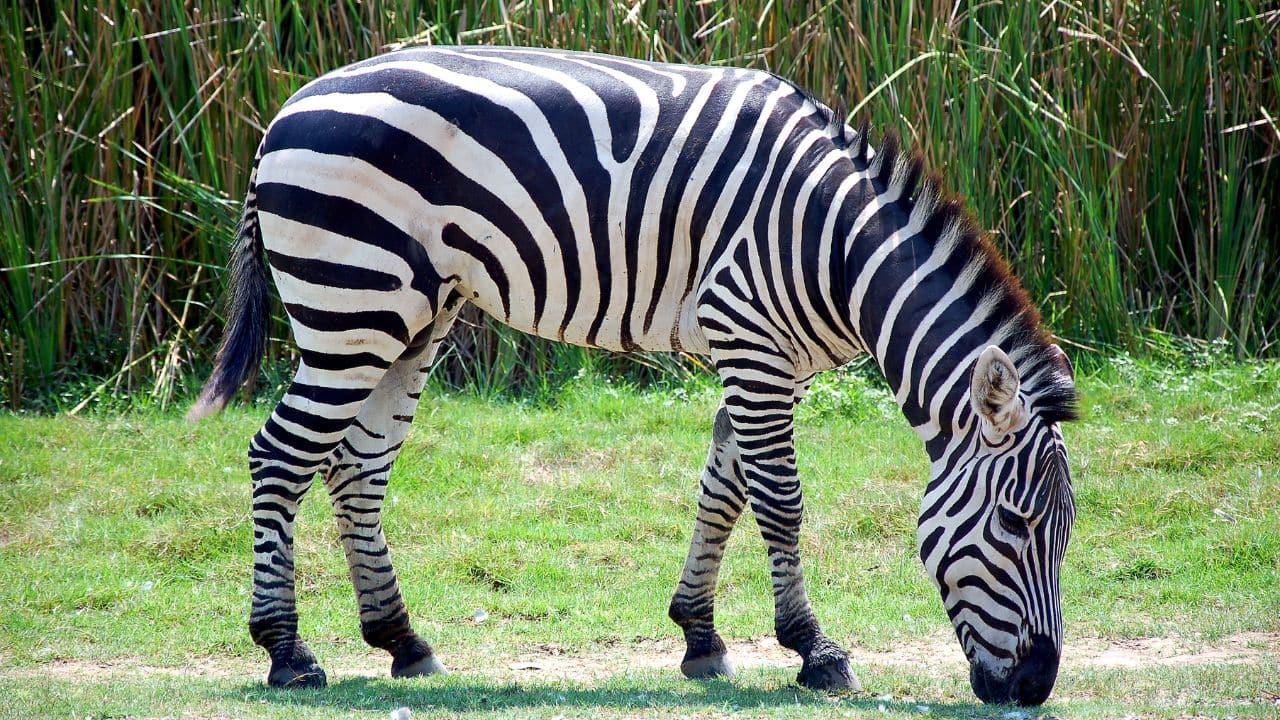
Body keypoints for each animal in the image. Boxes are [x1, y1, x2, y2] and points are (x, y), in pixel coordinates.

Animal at [189, 46, 1078, 706]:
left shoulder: (769, 362)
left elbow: (724, 489)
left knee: (356, 468)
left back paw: (402, 640)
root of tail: (282, 116)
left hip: (411, 318)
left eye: (1064, 531)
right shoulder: (752, 341)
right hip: (353, 304)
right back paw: (287, 652)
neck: (835, 247)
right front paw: (815, 650)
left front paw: (700, 636)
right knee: (279, 457)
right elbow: (779, 502)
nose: (1037, 686)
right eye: (1017, 525)